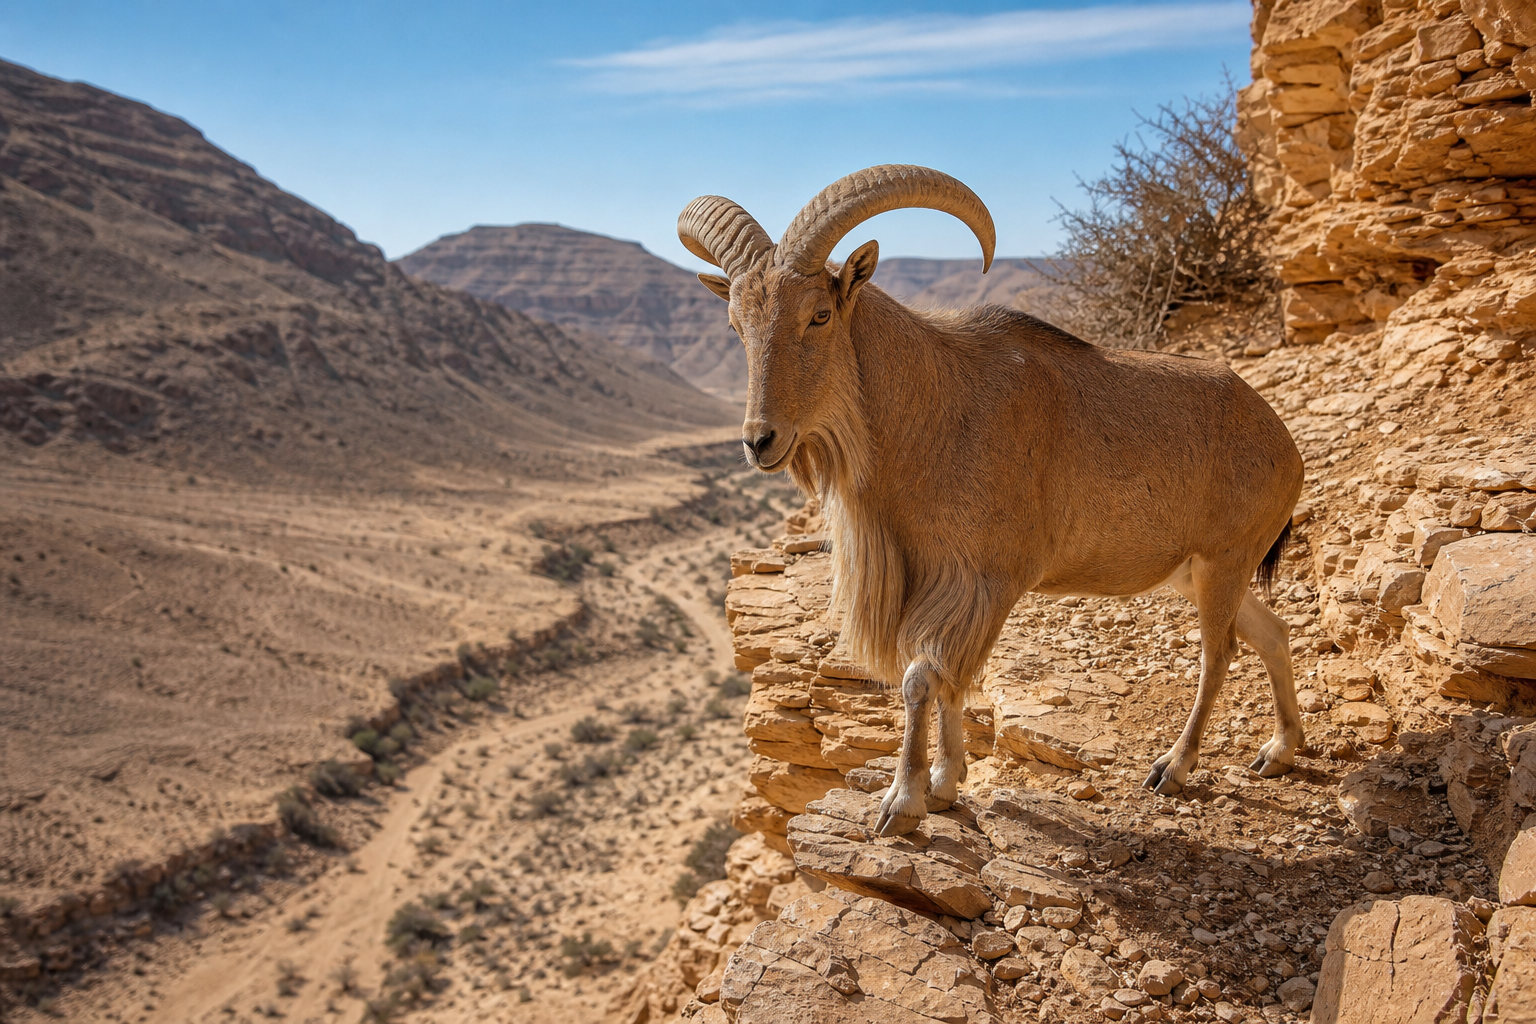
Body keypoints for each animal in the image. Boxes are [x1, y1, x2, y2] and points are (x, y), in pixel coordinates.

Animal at [679, 165, 1305, 836]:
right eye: (736, 325)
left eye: (819, 314)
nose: (759, 440)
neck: (936, 413)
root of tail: (1283, 444)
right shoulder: (941, 580)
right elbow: (949, 684)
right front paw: (945, 784)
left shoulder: (984, 582)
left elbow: (923, 679)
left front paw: (903, 802)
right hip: (1195, 572)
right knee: (1272, 633)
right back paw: (1280, 750)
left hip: (1223, 562)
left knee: (1219, 654)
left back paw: (1175, 766)